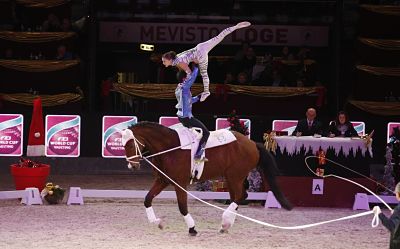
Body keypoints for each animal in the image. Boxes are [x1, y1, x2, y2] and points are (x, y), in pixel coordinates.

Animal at [122, 122, 290, 235]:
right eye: (122, 145)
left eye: (130, 144)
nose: (132, 166)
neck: (169, 148)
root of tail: (252, 143)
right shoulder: (163, 180)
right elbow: (147, 199)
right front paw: (157, 222)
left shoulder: (180, 183)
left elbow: (182, 207)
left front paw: (192, 228)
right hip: (231, 178)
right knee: (238, 197)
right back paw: (226, 225)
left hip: (235, 176)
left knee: (241, 196)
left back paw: (225, 221)